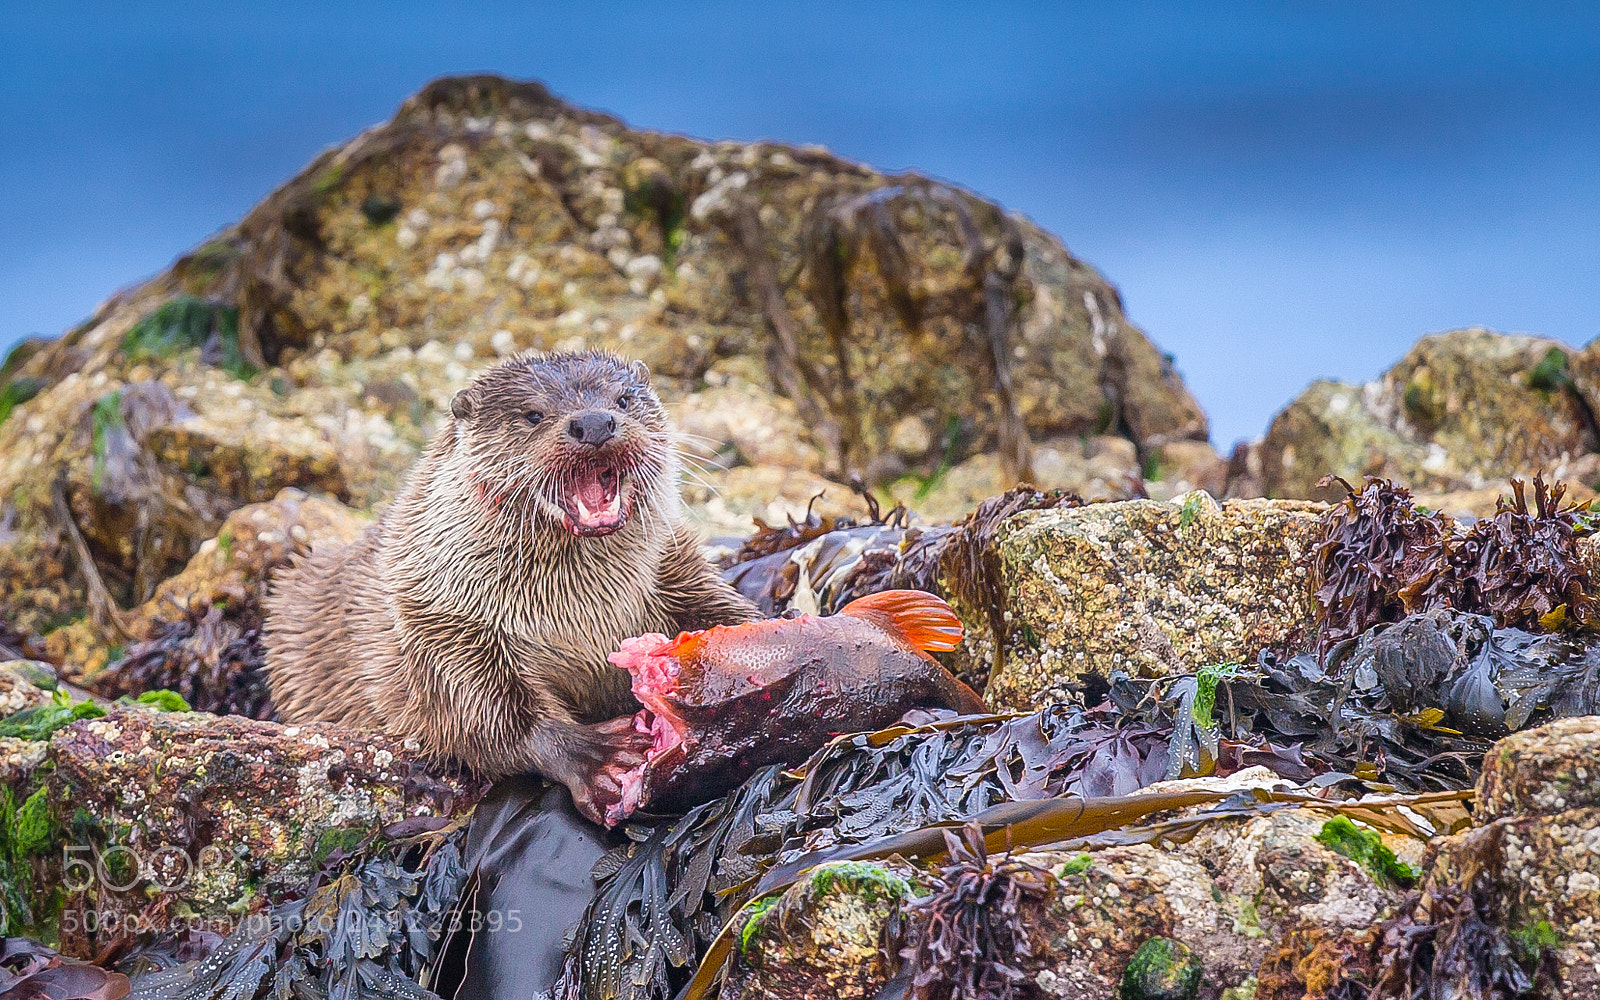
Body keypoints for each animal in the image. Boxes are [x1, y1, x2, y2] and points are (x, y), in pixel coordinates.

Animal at [263, 351, 758, 823]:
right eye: (533, 414)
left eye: (622, 400)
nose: (593, 422)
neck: (578, 613)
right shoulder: (438, 624)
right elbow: (484, 713)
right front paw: (595, 758)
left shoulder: (674, 569)